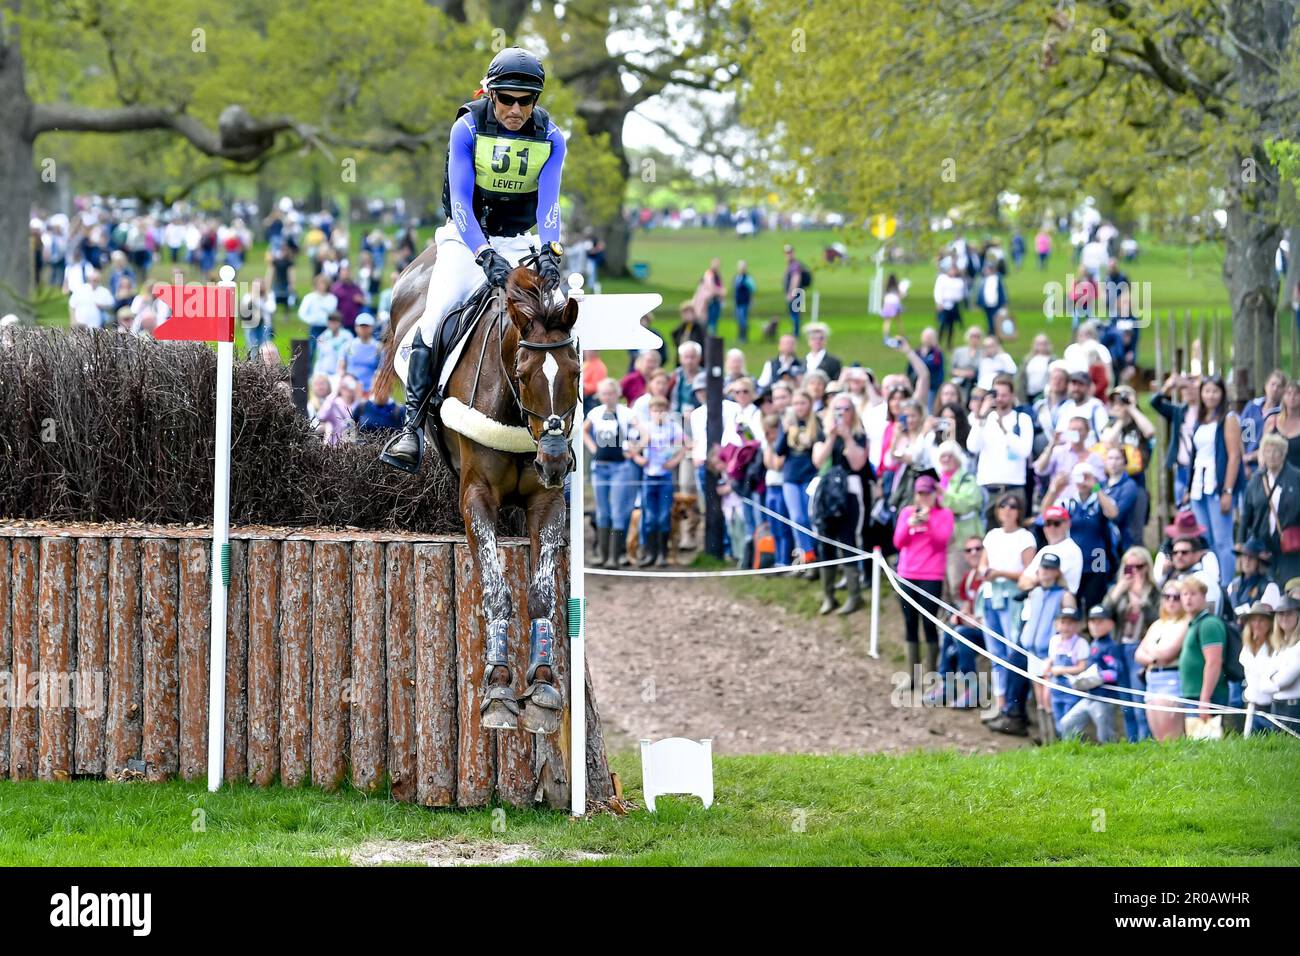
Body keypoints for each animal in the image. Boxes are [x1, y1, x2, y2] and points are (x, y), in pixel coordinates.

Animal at [377, 251, 579, 738]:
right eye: (522, 376)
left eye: (576, 372)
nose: (554, 462)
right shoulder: (477, 496)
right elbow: (495, 588)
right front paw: (498, 686)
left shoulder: (547, 503)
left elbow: (542, 591)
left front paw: (542, 684)